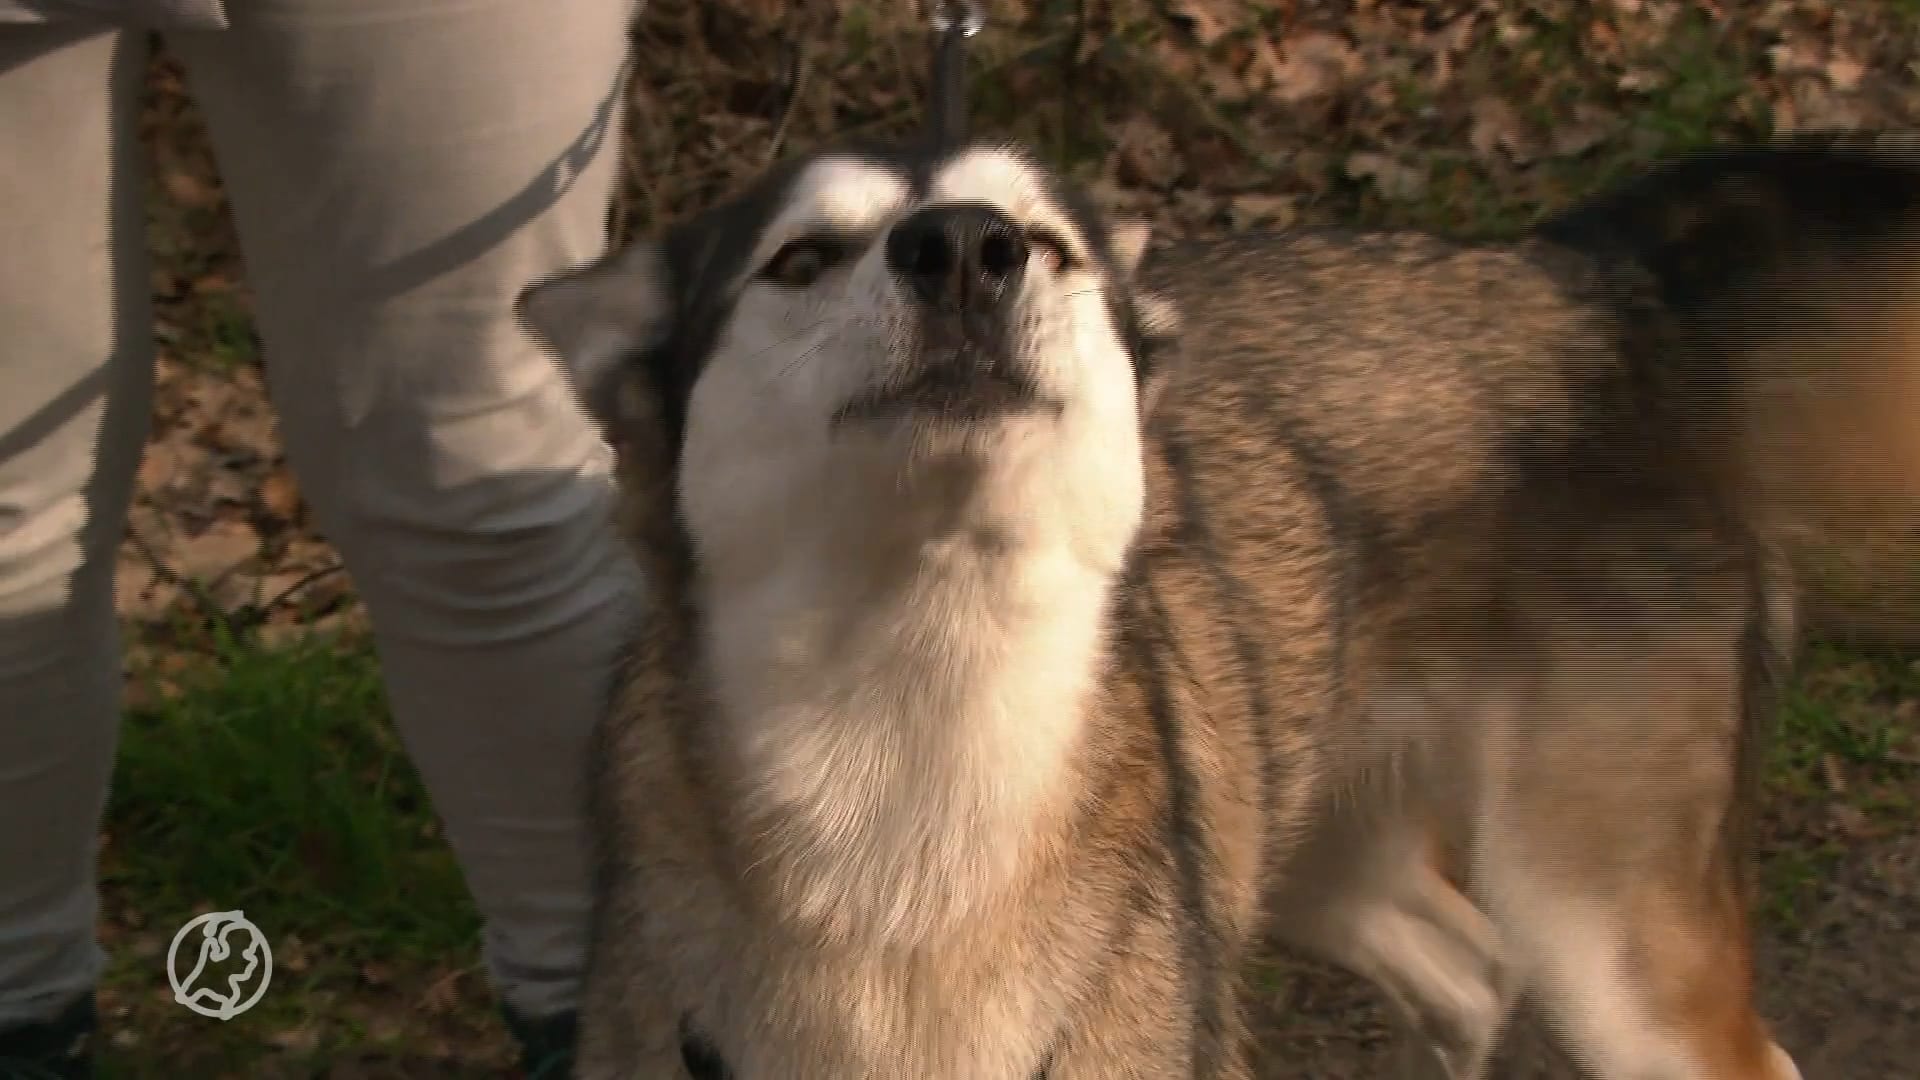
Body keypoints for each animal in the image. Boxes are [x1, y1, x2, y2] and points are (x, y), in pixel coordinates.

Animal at [518, 130, 1920, 1068]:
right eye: (801, 259)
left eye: (1044, 242)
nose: (967, 248)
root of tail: (1572, 282)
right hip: (1309, 849)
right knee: (1470, 971)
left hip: (1599, 937)